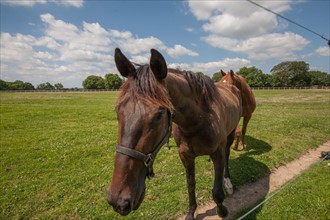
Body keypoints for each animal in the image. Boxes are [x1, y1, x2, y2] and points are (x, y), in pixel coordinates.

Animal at [107, 48, 241, 220]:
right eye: (117, 110)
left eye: (158, 115)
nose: (117, 200)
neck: (199, 121)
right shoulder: (185, 156)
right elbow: (190, 186)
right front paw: (191, 212)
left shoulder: (218, 153)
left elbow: (217, 191)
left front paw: (222, 210)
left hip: (231, 135)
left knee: (227, 155)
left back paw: (228, 182)